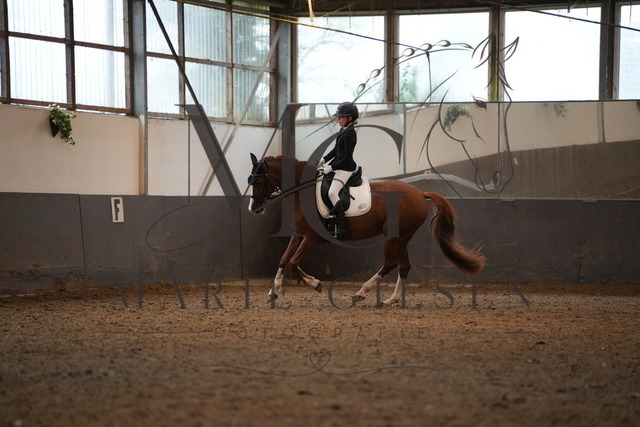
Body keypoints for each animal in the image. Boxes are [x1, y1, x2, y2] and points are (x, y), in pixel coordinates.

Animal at [248, 154, 485, 305]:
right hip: (402, 237)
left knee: (390, 263)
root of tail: (419, 193)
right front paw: (273, 292)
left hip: (393, 235)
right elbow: (283, 260)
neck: (303, 192)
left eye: (258, 181)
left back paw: (361, 293)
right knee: (404, 266)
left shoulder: (312, 238)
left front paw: (315, 284)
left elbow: (294, 263)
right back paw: (392, 299)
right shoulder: (300, 235)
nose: (253, 209)